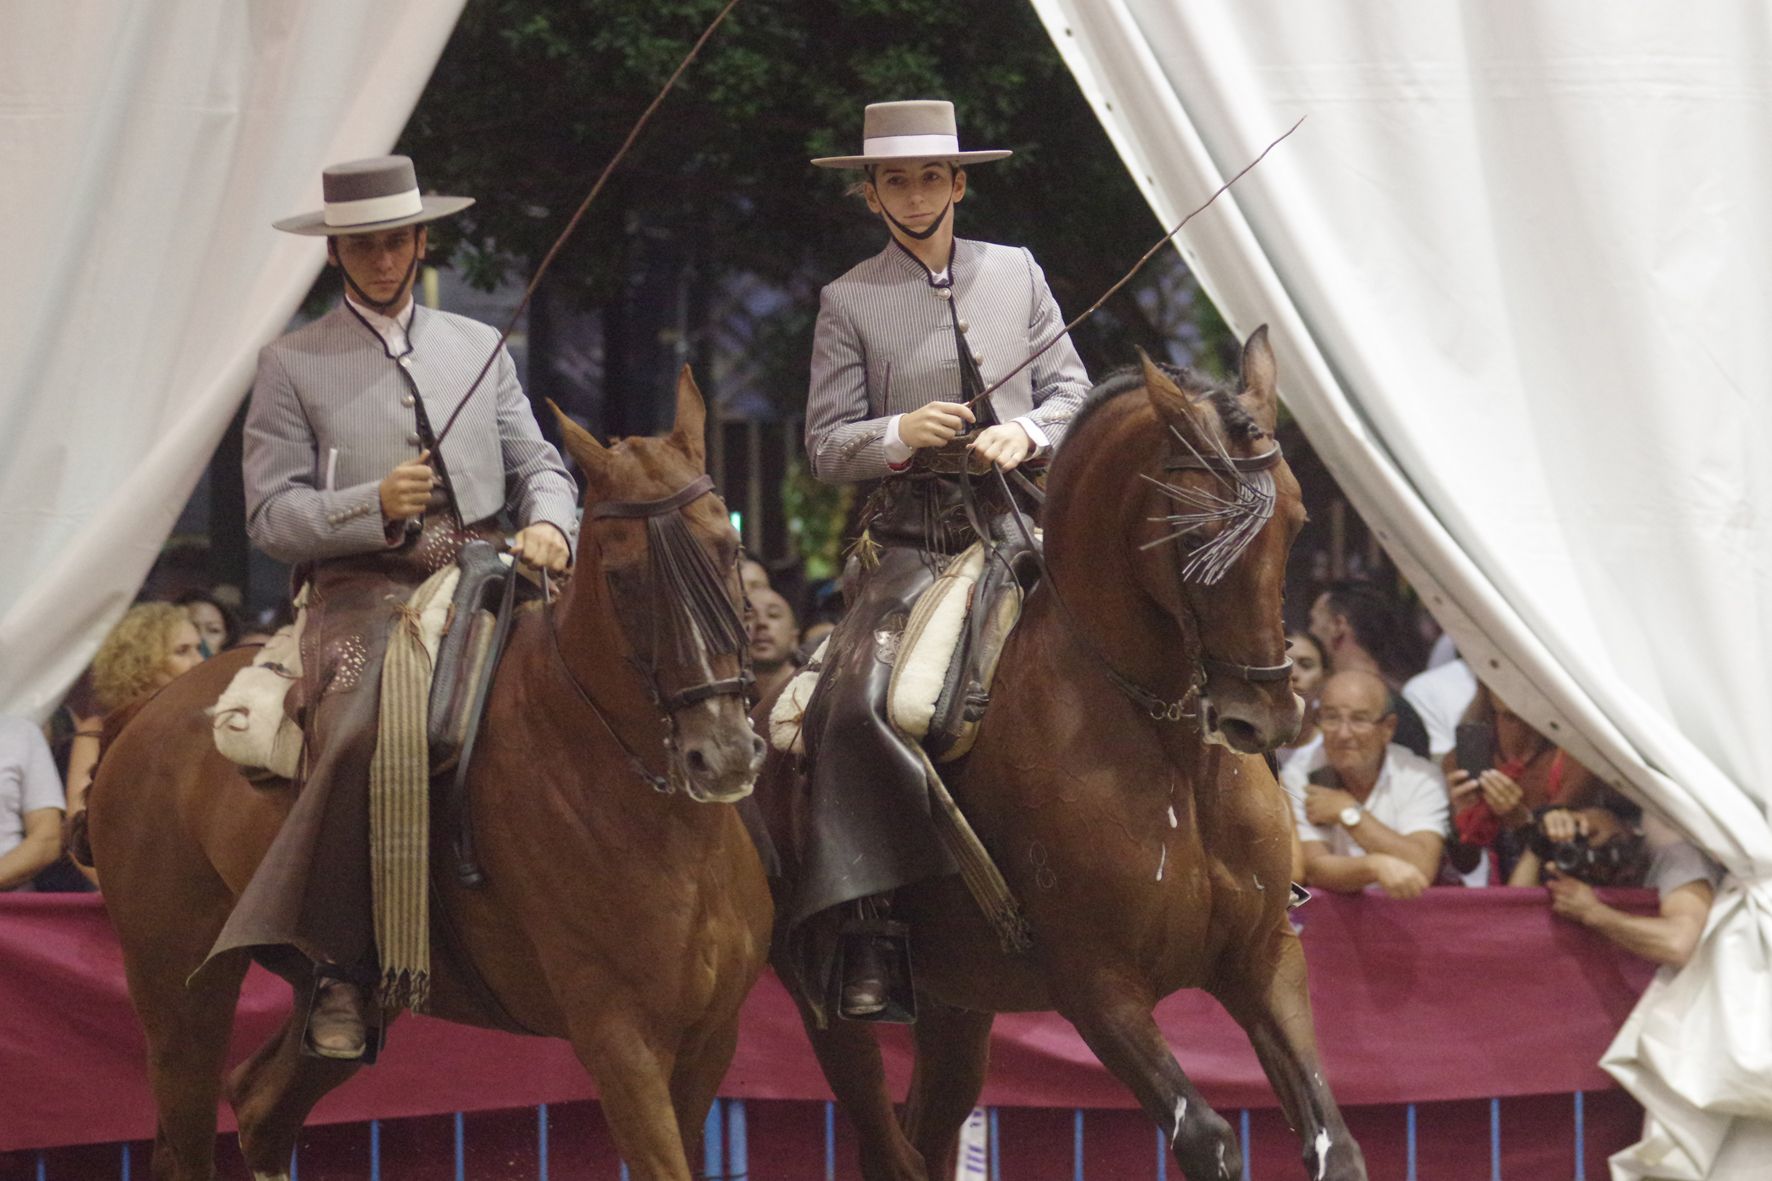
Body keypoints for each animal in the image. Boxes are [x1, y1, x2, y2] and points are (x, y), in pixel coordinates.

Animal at [86, 370, 772, 1177]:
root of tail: (143, 715)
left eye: (728, 546)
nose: (722, 752)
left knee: (260, 1104)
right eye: (625, 577)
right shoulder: (621, 1041)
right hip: (178, 991)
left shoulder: (709, 1042)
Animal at [761, 328, 1367, 1177]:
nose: (1265, 715)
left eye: (1298, 520)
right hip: (827, 1007)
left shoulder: (1264, 960)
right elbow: (1208, 1138)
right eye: (1191, 531)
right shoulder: (1097, 987)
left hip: (958, 1004)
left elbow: (1333, 1142)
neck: (1172, 751)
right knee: (887, 1142)